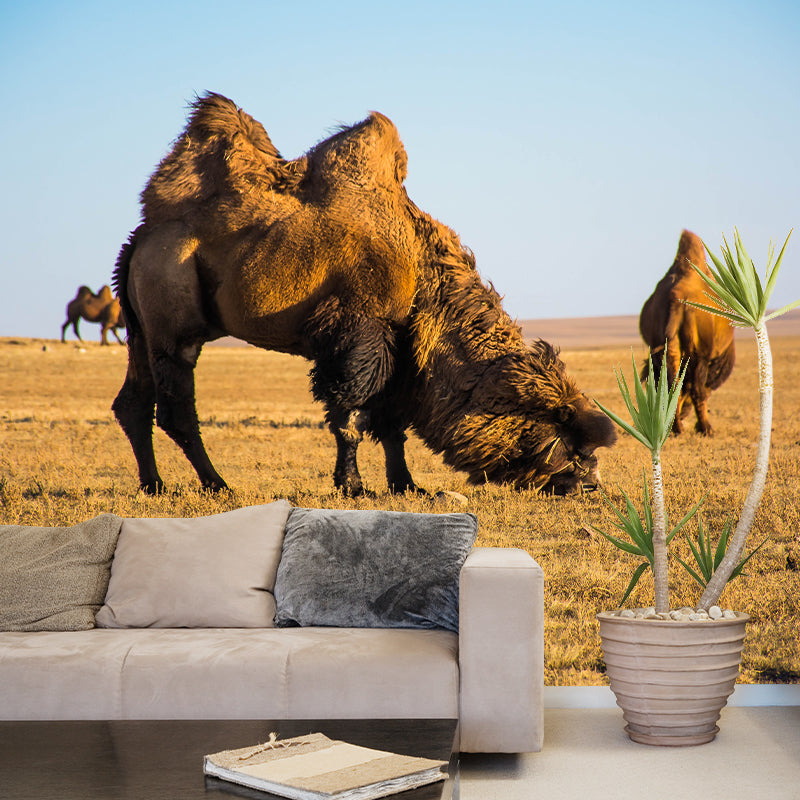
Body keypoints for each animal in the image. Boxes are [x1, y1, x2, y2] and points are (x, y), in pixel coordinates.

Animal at [113, 93, 615, 495]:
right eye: (565, 434)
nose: (591, 484)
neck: (424, 277)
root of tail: (141, 239)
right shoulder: (362, 332)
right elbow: (351, 417)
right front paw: (354, 487)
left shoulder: (404, 348)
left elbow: (391, 425)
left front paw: (407, 485)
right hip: (173, 318)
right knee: (175, 408)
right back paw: (217, 484)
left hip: (139, 326)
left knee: (133, 402)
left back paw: (154, 485)